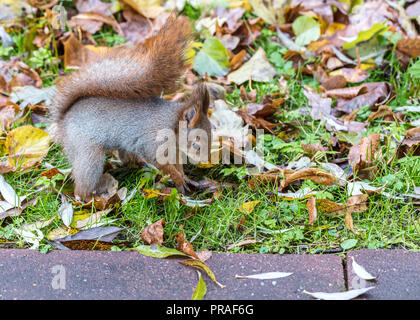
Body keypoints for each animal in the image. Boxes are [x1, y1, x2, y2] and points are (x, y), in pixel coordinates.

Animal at [49, 15, 212, 200]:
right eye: (196, 144)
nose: (206, 161)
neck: (172, 126)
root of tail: (63, 121)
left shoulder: (174, 151)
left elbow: (177, 165)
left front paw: (185, 177)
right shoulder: (153, 144)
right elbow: (165, 165)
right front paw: (178, 178)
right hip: (88, 154)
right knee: (82, 185)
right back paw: (90, 199)